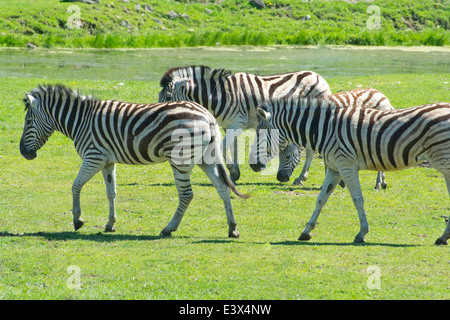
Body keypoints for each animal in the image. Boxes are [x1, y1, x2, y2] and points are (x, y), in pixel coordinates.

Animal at [20, 84, 250, 239]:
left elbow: (75, 185)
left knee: (186, 194)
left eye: (29, 121)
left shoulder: (94, 157)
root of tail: (208, 116)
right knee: (223, 188)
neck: (81, 120)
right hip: (205, 157)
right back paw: (232, 228)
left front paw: (78, 220)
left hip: (181, 159)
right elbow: (111, 192)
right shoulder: (107, 161)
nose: (23, 152)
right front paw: (110, 224)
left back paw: (169, 228)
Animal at [158, 64, 330, 182]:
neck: (219, 96)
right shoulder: (228, 126)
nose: (160, 114)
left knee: (310, 150)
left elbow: (223, 147)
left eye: (168, 97)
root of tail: (318, 76)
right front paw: (234, 172)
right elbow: (232, 148)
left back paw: (301, 178)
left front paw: (231, 172)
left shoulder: (238, 125)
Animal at [250, 96, 450, 244]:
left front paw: (362, 233)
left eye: (260, 133)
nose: (252, 165)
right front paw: (306, 231)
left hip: (444, 160)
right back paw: (443, 237)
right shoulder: (334, 168)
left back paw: (443, 237)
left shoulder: (346, 165)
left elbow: (357, 199)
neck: (324, 128)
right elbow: (321, 199)